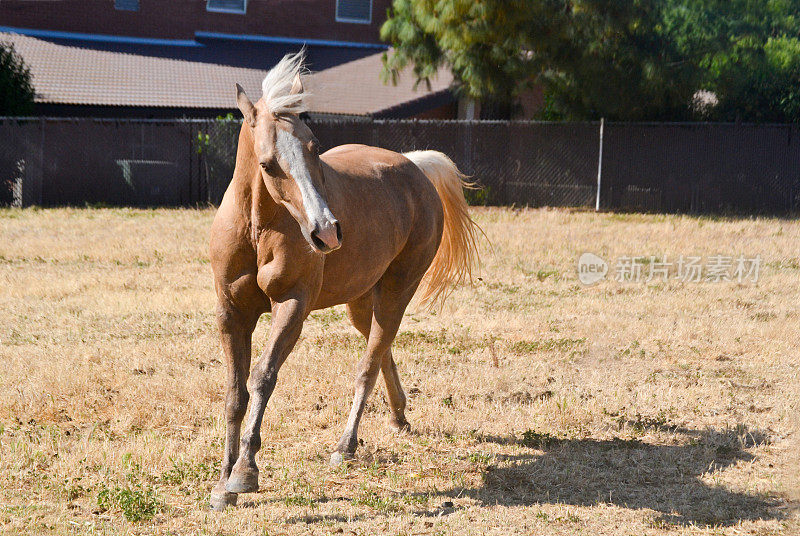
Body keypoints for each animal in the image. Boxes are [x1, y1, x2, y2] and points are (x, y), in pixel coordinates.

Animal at [209, 52, 478, 508]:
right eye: (267, 164)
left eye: (315, 147)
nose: (326, 232)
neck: (258, 230)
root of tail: (415, 169)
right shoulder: (232, 314)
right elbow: (234, 393)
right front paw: (222, 482)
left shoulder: (292, 308)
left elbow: (262, 377)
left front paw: (245, 473)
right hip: (360, 301)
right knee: (381, 348)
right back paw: (399, 416)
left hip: (397, 292)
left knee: (369, 362)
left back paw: (346, 445)